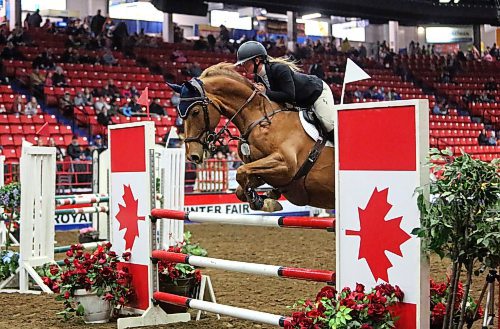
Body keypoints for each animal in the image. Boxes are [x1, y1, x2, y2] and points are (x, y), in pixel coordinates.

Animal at [169, 63, 336, 211]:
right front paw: (267, 200)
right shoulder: (266, 172)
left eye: (195, 111)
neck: (260, 119)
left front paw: (261, 201)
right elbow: (241, 186)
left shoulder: (286, 164)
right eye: (180, 114)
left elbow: (240, 172)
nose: (192, 156)